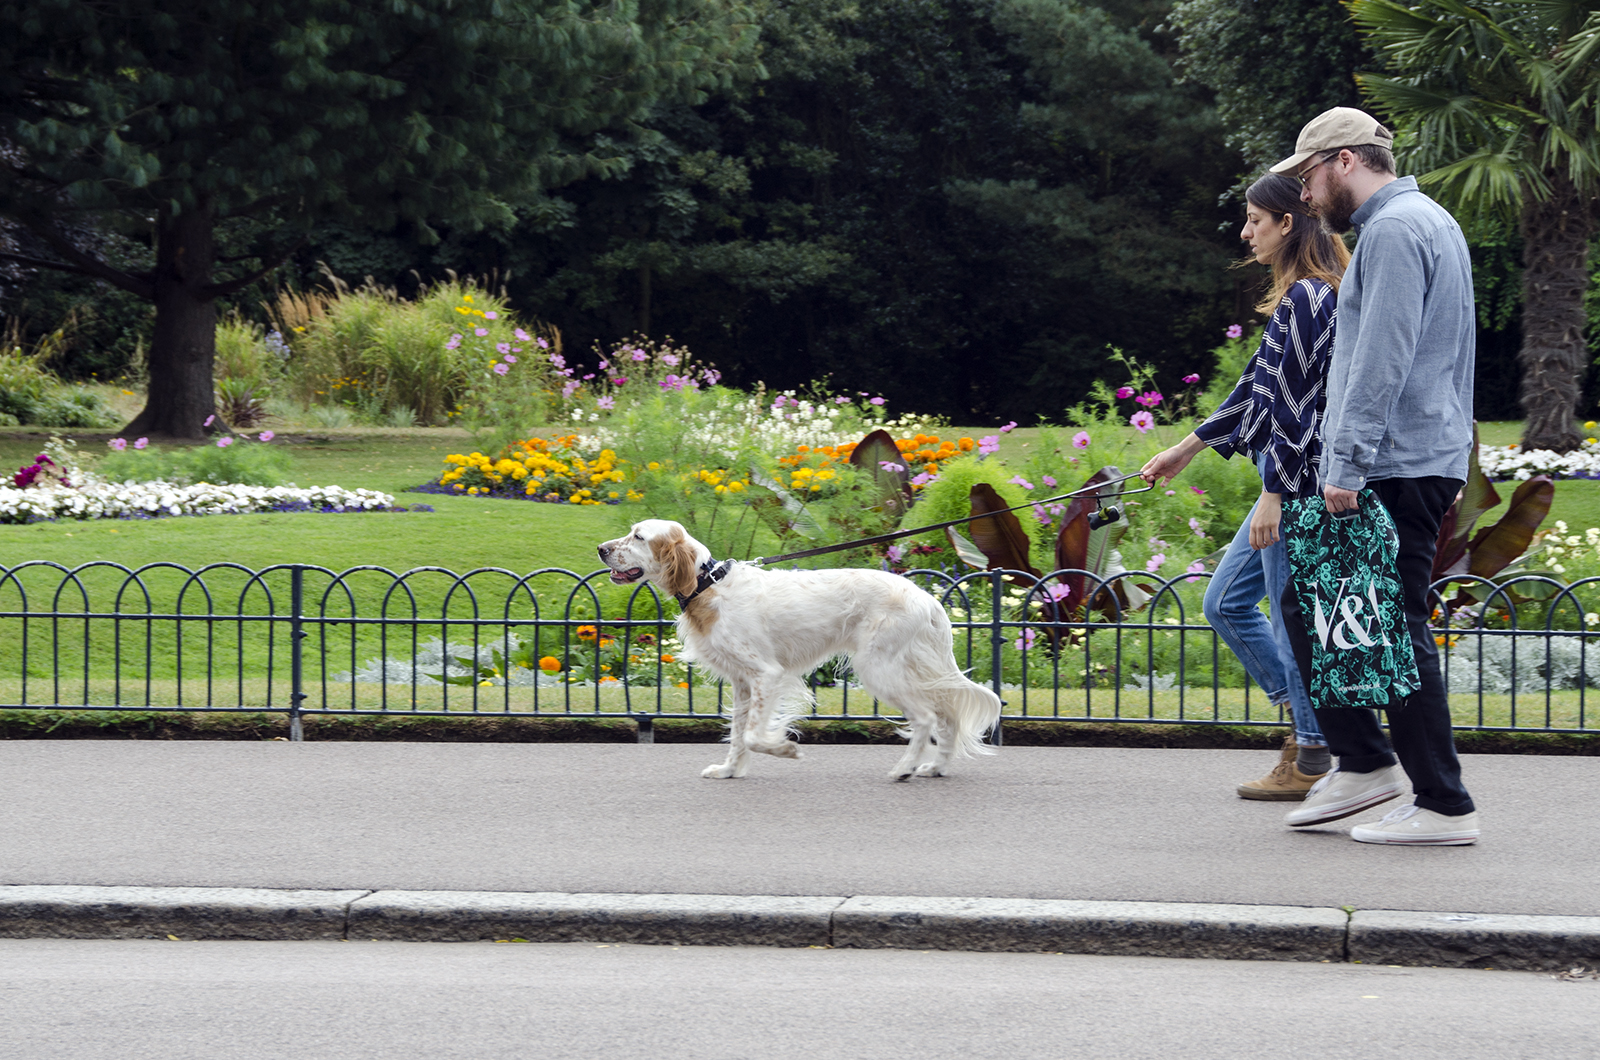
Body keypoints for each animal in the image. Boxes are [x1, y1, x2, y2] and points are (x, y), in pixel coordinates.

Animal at [601, 521, 998, 781]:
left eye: (638, 536)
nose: (601, 549)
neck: (706, 584)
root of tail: (927, 598)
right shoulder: (743, 684)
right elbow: (739, 735)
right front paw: (729, 770)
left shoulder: (767, 675)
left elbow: (752, 735)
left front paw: (784, 749)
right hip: (915, 669)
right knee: (948, 715)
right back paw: (936, 767)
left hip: (878, 669)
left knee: (927, 718)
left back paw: (905, 768)